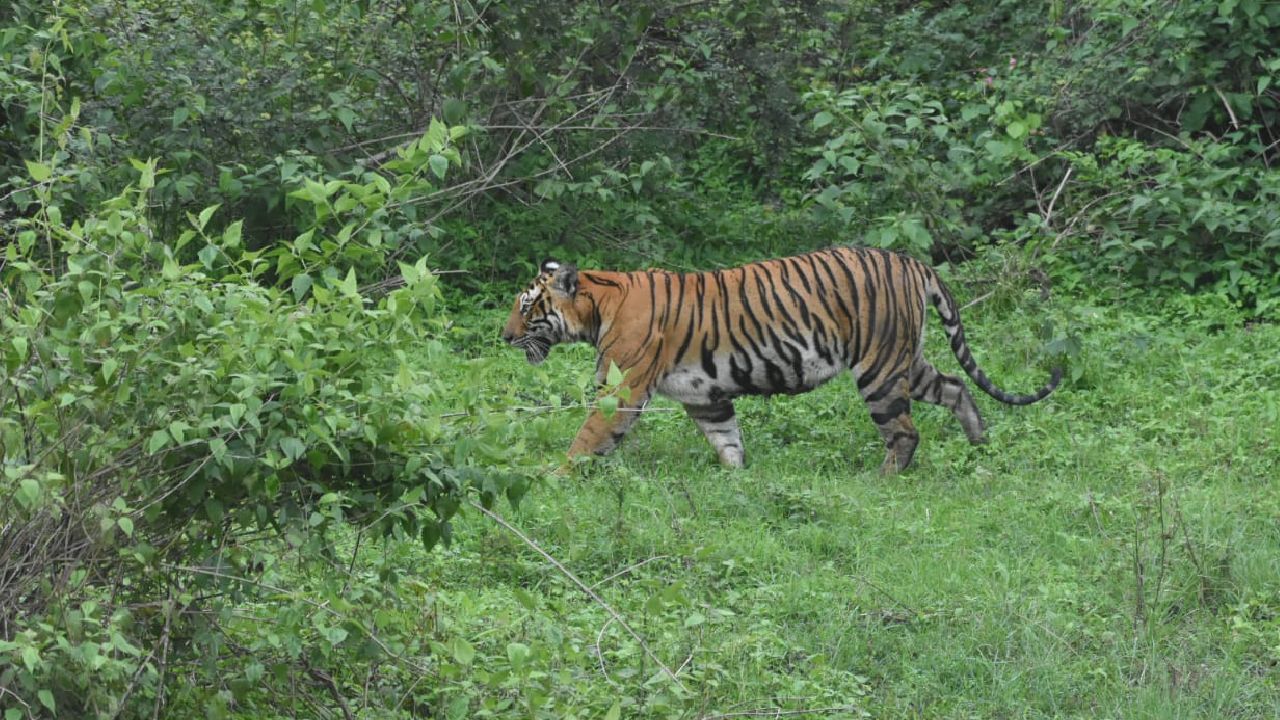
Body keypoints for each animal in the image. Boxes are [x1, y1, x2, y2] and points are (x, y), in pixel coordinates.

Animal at [504, 243, 1064, 474]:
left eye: (527, 307)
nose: (504, 336)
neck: (598, 306)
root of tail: (912, 262)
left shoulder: (622, 389)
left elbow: (587, 438)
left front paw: (555, 477)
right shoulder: (705, 396)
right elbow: (727, 440)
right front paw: (737, 480)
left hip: (879, 369)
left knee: (905, 432)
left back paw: (883, 479)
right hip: (907, 359)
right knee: (955, 386)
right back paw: (980, 445)